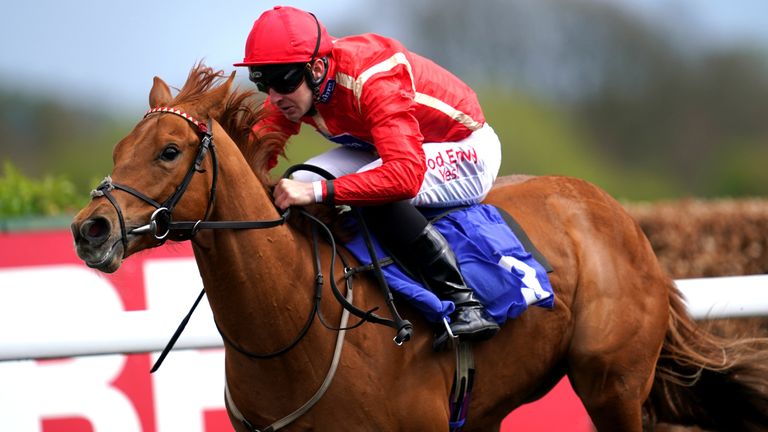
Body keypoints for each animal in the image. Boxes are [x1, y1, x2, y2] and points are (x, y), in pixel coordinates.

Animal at [72, 65, 768, 432]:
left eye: (169, 151)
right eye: (118, 150)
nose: (89, 229)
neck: (292, 326)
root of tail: (616, 215)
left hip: (612, 383)